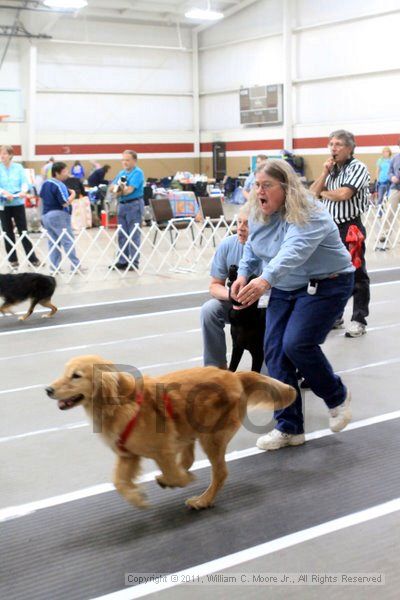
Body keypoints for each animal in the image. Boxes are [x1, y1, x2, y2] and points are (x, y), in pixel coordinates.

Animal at [47, 356, 296, 510]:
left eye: (76, 375)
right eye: (64, 372)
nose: (48, 389)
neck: (120, 403)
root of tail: (234, 376)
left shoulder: (162, 450)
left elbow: (174, 473)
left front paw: (180, 480)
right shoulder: (128, 455)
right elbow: (118, 481)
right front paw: (137, 498)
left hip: (211, 438)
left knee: (219, 473)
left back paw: (202, 500)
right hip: (189, 427)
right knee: (189, 458)